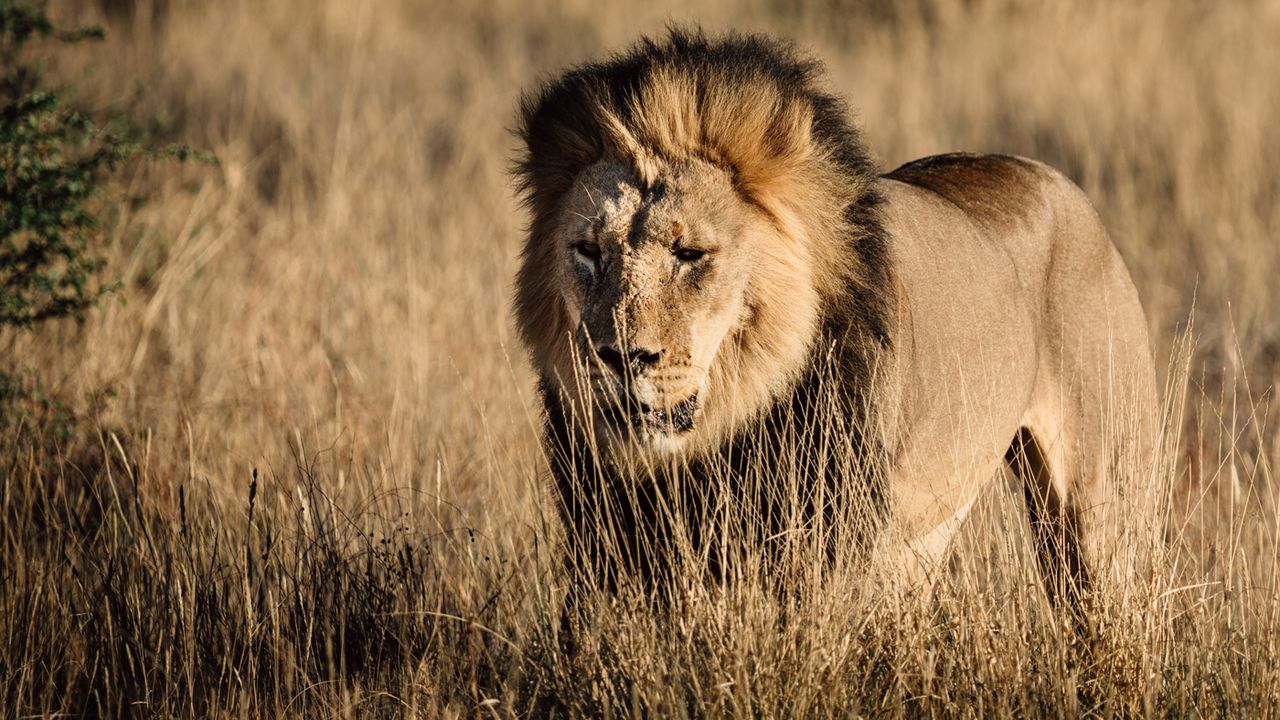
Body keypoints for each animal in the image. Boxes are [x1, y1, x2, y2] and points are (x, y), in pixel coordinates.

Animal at [513, 30, 1158, 621]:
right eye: (589, 251)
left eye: (689, 253)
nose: (621, 356)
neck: (723, 430)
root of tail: (1058, 181)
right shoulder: (610, 535)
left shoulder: (828, 539)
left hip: (1098, 510)